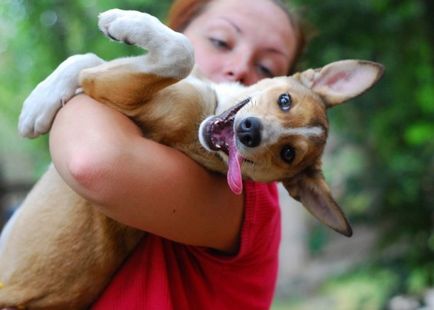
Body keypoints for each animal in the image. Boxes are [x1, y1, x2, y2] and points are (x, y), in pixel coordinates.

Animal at [0, 9, 384, 308]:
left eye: (288, 153)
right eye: (285, 101)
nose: (249, 132)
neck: (209, 106)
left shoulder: (119, 91)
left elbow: (177, 52)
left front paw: (123, 24)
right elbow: (89, 60)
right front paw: (42, 100)